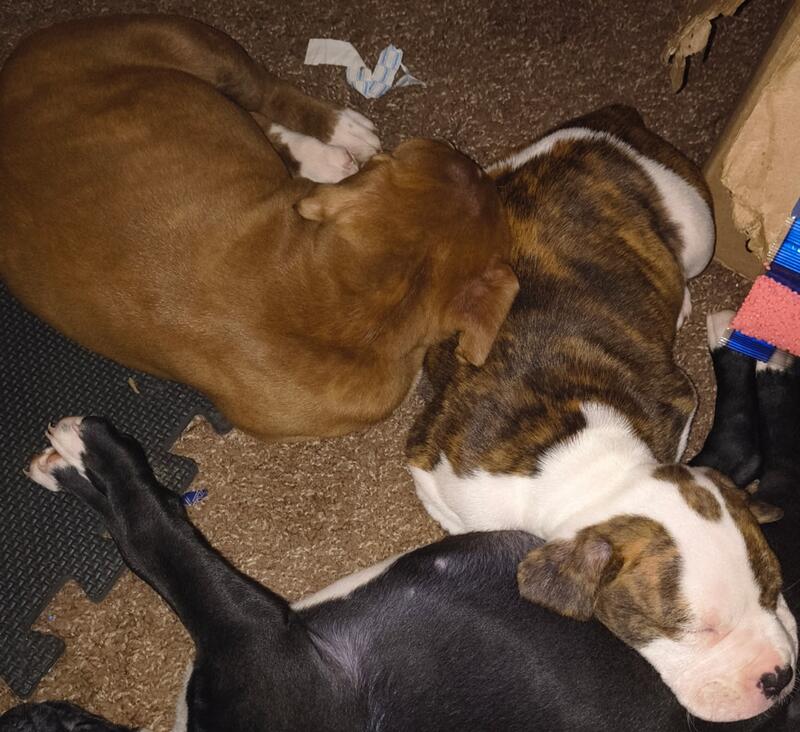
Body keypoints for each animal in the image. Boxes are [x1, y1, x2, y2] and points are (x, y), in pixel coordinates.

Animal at [0, 14, 518, 440]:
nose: (468, 163)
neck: (359, 305)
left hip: (189, 48)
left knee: (258, 102)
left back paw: (329, 142)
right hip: (184, 41)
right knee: (259, 96)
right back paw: (336, 138)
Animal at [2, 330, 799, 732]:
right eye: (695, 627)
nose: (780, 676)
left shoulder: (261, 638)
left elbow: (160, 543)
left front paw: (94, 453)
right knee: (739, 448)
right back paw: (751, 355)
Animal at [405, 106, 798, 722]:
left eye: (774, 588)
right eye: (695, 631)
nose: (780, 676)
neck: (588, 462)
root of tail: (612, 124)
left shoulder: (676, 404)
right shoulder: (435, 468)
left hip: (696, 233)